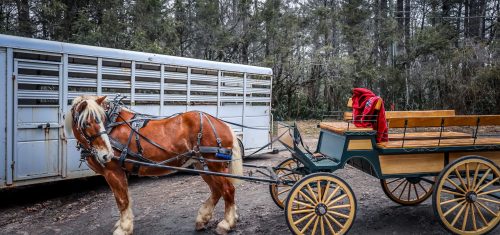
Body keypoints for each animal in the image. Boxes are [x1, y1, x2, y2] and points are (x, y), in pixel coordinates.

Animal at [63, 95, 243, 235]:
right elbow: (124, 198)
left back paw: (226, 223)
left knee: (228, 190)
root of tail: (223, 124)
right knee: (217, 190)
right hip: (202, 165)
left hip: (215, 165)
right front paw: (123, 223)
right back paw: (203, 218)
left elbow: (122, 200)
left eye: (100, 121)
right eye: (86, 124)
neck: (112, 126)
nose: (107, 154)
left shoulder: (113, 171)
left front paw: (124, 228)